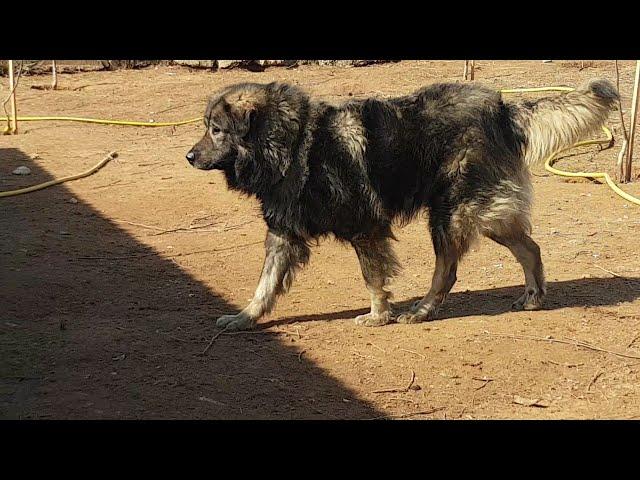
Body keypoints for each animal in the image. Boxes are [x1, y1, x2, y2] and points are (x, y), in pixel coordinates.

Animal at [188, 79, 616, 334]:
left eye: (216, 130)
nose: (189, 156)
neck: (292, 145)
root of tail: (501, 110)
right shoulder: (283, 234)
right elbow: (264, 285)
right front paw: (244, 317)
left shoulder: (365, 227)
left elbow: (372, 278)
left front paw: (379, 315)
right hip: (481, 213)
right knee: (530, 248)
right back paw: (531, 298)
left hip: (453, 213)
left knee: (448, 271)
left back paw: (422, 310)